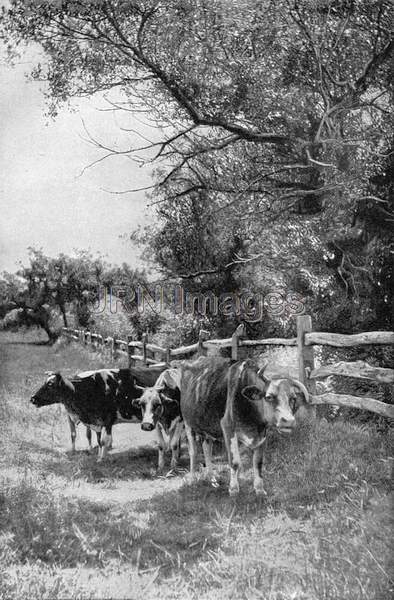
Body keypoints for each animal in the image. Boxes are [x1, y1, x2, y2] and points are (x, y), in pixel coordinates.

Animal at [31, 366, 165, 460]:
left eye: (50, 384)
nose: (32, 398)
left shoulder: (108, 420)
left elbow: (104, 440)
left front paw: (100, 459)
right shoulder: (97, 422)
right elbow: (98, 440)